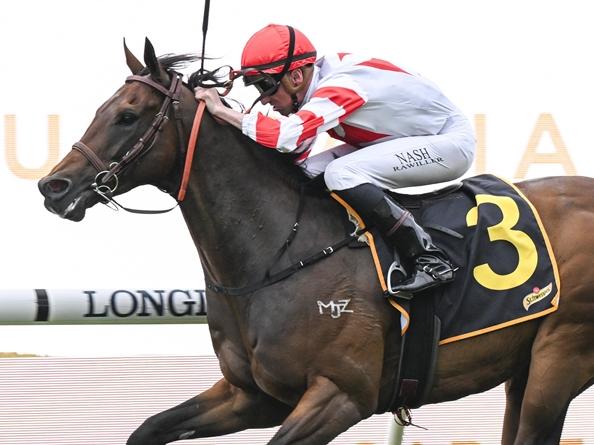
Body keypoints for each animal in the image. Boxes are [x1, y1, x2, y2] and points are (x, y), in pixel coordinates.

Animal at [38, 40, 592, 442]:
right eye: (101, 109)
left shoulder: (341, 395)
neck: (278, 254)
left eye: (127, 116)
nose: (53, 186)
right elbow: (148, 428)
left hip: (559, 361)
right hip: (524, 368)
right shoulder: (252, 395)